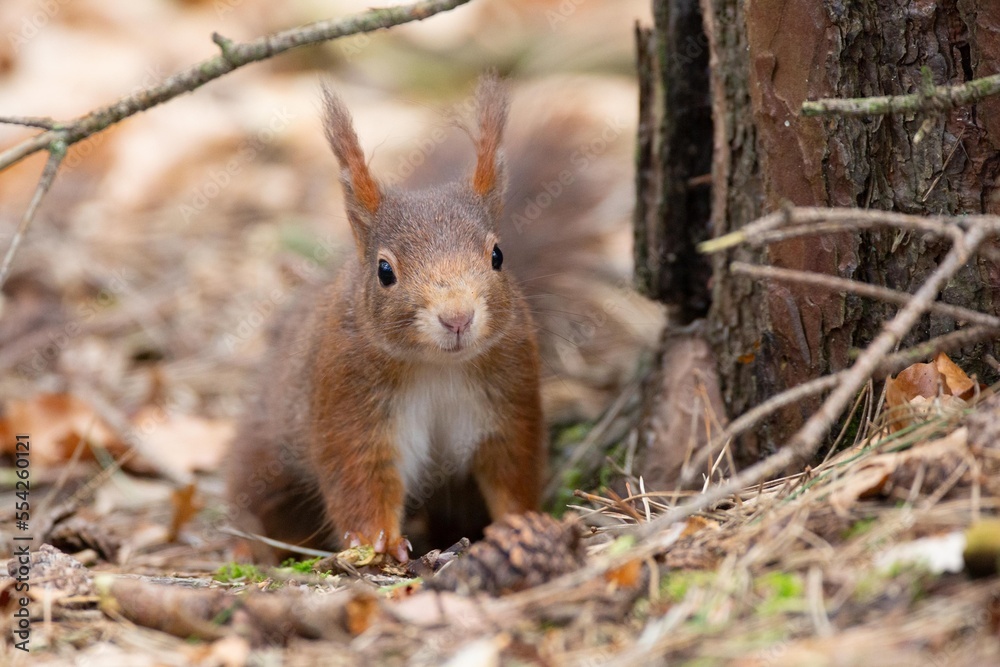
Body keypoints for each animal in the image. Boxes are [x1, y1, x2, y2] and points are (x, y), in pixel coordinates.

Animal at [226, 75, 546, 563]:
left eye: (497, 255)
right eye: (384, 271)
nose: (457, 317)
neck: (438, 367)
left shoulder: (510, 396)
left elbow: (512, 470)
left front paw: (522, 524)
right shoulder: (349, 401)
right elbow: (359, 476)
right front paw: (377, 542)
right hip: (269, 450)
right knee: (255, 493)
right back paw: (248, 545)